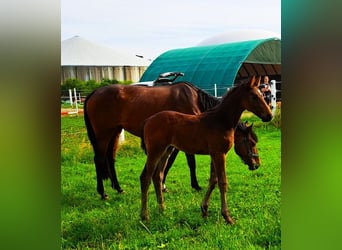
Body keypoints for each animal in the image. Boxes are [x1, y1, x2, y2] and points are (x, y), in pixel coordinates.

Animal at [84, 79, 252, 198]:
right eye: (250, 141)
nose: (254, 164)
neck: (193, 99)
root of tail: (94, 93)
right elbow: (190, 163)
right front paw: (196, 185)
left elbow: (169, 163)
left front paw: (163, 185)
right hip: (103, 134)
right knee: (99, 159)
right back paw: (102, 193)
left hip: (115, 132)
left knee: (110, 159)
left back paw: (118, 188)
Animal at [140, 75, 272, 225]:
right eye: (254, 96)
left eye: (262, 94)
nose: (269, 115)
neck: (220, 121)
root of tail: (148, 121)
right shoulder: (219, 154)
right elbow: (222, 182)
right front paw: (227, 217)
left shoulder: (214, 155)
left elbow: (213, 181)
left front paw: (204, 209)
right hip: (155, 151)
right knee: (145, 177)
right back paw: (145, 216)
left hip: (166, 151)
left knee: (158, 176)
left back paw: (162, 209)